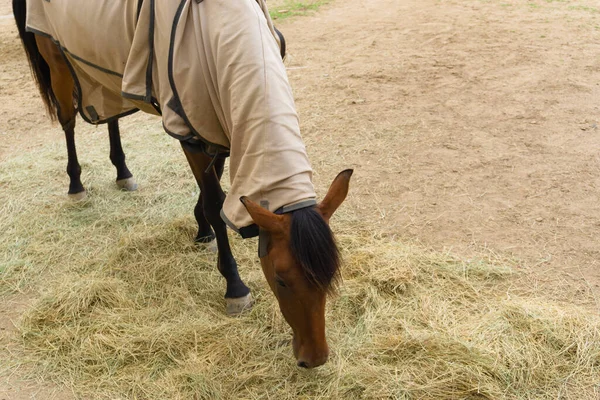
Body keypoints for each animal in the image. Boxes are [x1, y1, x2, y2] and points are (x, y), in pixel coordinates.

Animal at [12, 0, 352, 368]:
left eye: (332, 274)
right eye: (280, 279)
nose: (314, 357)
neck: (220, 27)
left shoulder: (216, 123)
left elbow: (212, 190)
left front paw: (201, 229)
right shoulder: (190, 131)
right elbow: (216, 204)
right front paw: (234, 286)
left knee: (111, 113)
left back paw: (122, 171)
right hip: (58, 62)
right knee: (68, 121)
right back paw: (76, 185)